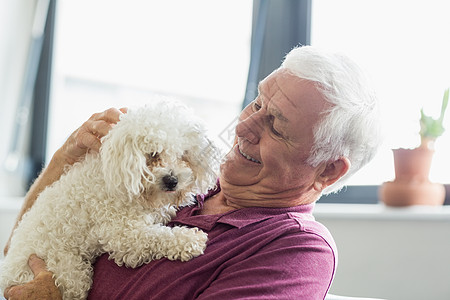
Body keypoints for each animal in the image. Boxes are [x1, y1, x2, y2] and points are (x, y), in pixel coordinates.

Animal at [0, 99, 220, 298]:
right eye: (153, 154)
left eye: (184, 155)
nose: (172, 181)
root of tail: (7, 274)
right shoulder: (124, 236)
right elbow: (157, 236)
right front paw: (189, 239)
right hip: (70, 272)